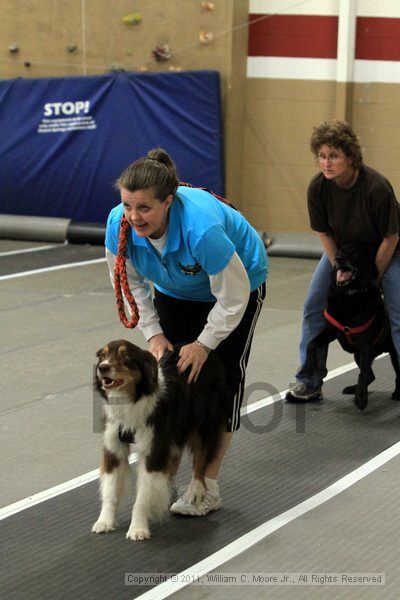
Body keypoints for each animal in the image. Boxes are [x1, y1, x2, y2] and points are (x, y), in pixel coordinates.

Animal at [91, 340, 228, 540]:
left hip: (203, 424)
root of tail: (211, 356)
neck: (130, 400)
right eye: (103, 355)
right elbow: (110, 490)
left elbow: (142, 497)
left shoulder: (153, 450)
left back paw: (195, 492)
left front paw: (138, 528)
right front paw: (104, 521)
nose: (103, 367)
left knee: (201, 460)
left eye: (125, 356)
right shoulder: (113, 447)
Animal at [304, 243, 398, 408]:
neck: (348, 295)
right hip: (356, 354)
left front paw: (361, 398)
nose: (338, 259)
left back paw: (396, 393)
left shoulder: (366, 345)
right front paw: (307, 368)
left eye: (355, 253)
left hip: (391, 353)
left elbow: (363, 373)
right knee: (371, 376)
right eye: (339, 251)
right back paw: (352, 389)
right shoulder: (330, 331)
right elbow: (311, 344)